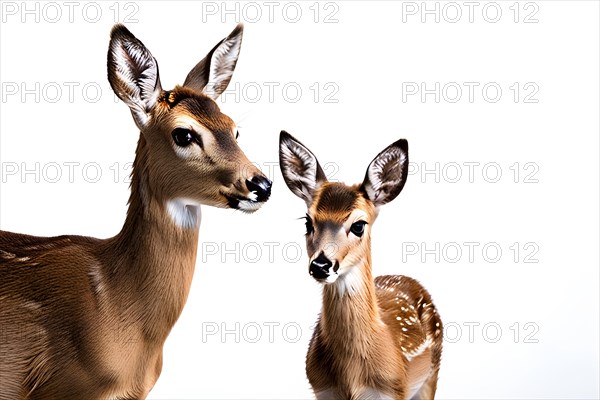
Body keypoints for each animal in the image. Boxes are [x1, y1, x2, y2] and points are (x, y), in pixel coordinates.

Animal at [280, 132, 440, 400]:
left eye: (358, 225)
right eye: (307, 222)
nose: (321, 265)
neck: (351, 377)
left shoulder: (393, 390)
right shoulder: (322, 390)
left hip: (432, 372)